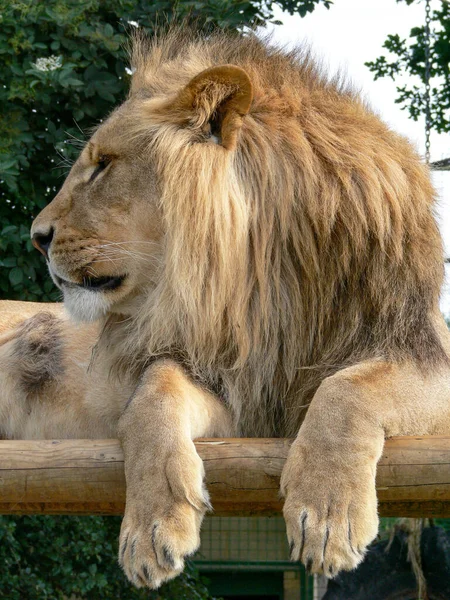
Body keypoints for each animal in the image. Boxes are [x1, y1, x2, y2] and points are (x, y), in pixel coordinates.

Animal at [12, 27, 448, 584]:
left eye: (103, 166)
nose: (36, 237)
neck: (267, 282)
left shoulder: (421, 349)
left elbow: (348, 387)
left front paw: (328, 515)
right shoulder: (238, 402)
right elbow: (154, 391)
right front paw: (152, 525)